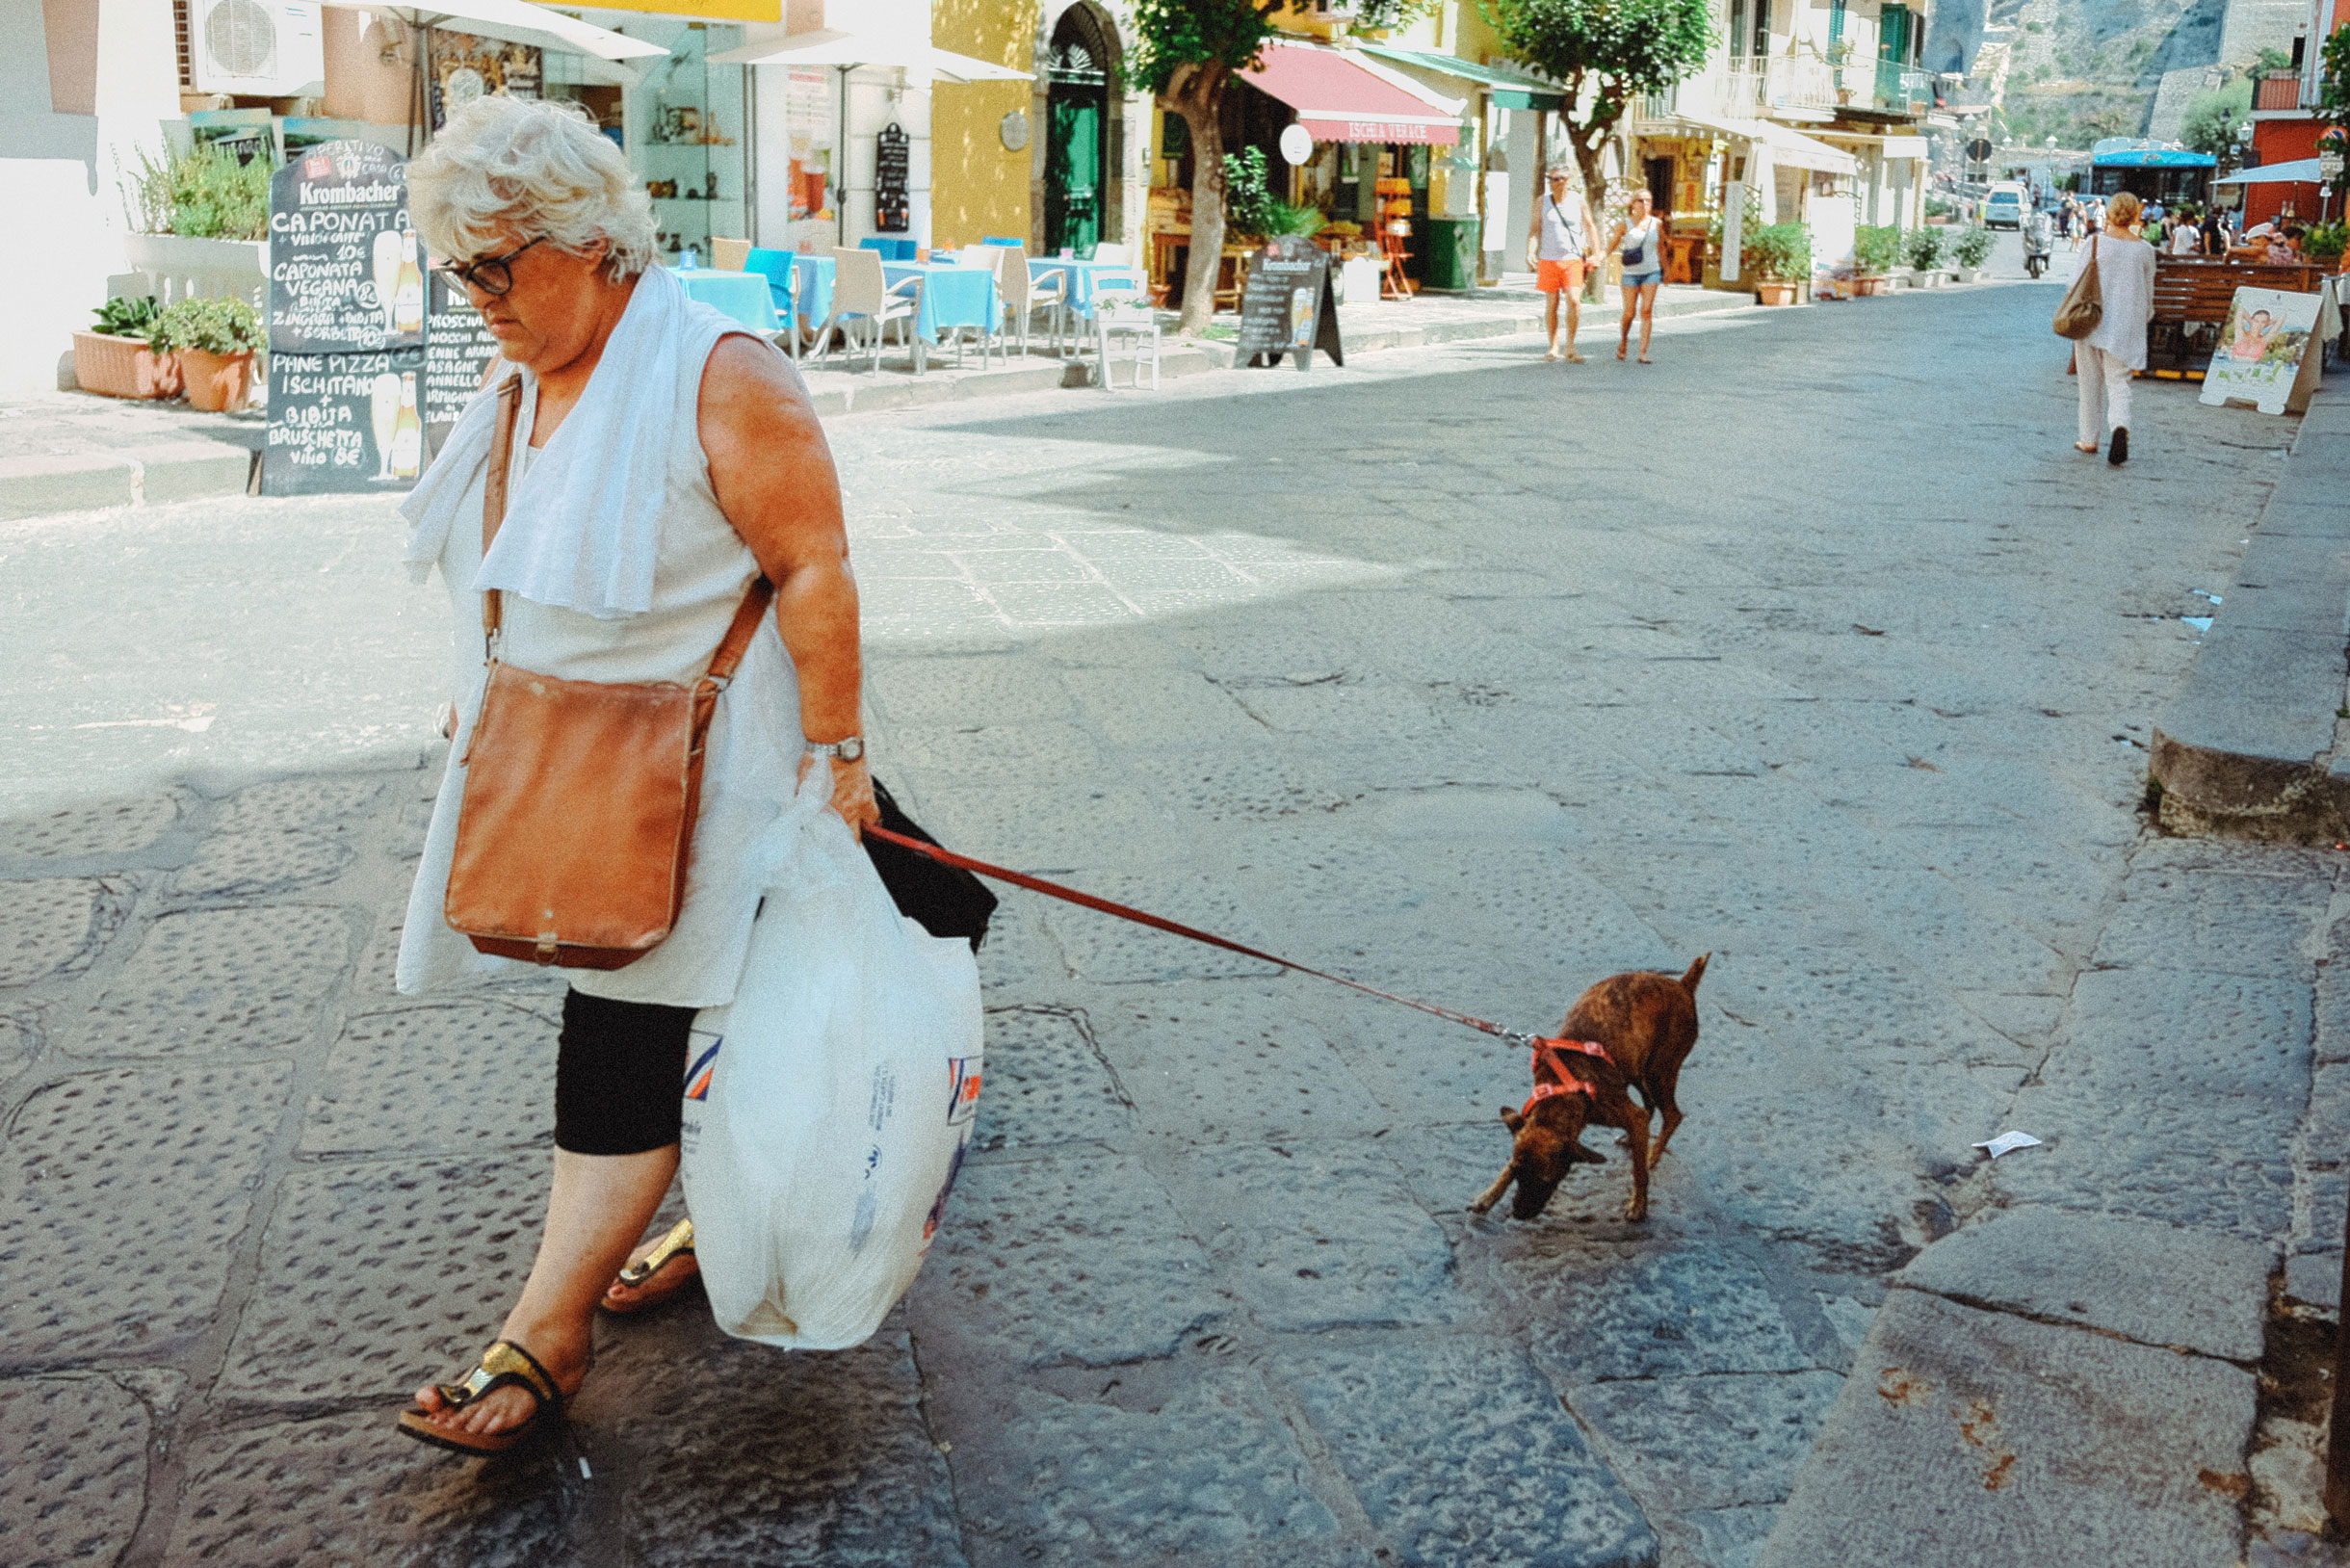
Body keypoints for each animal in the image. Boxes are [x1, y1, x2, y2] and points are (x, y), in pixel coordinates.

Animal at [1466, 958, 1710, 1222]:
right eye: (1516, 1173)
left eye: (1546, 1181)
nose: (1518, 1214)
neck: (1561, 1093)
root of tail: (1682, 985)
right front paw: (1489, 1195)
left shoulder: (1628, 1113)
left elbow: (1639, 1173)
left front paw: (1638, 1204)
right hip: (1637, 1070)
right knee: (1650, 1106)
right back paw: (1636, 1141)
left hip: (1659, 1071)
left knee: (1672, 1115)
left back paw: (1651, 1155)